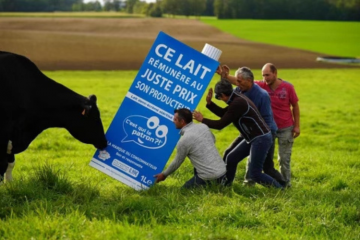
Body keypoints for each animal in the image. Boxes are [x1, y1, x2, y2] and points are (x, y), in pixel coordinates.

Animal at [0, 51, 107, 182]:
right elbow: (3, 164)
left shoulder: (12, 137)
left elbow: (10, 163)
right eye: (94, 118)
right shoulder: (5, 132)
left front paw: (10, 183)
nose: (104, 142)